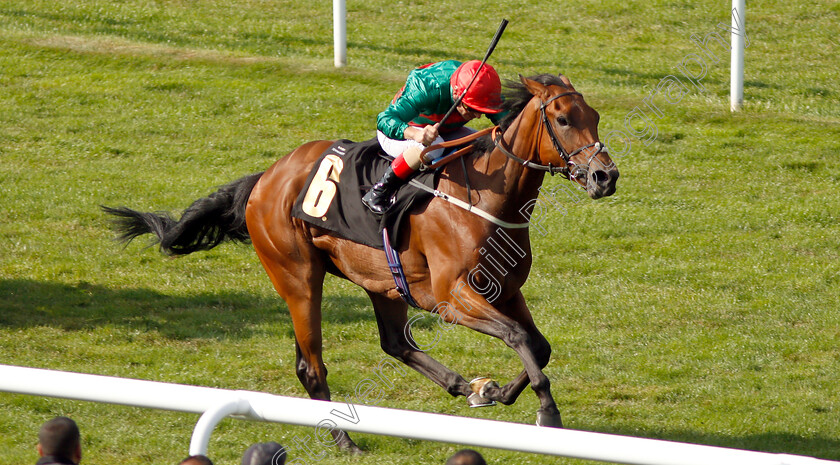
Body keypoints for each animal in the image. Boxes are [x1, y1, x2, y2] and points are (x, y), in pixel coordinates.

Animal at [103, 72, 616, 450]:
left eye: (593, 115)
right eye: (563, 118)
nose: (604, 176)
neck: (486, 198)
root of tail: (265, 177)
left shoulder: (506, 290)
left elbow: (537, 345)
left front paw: (498, 391)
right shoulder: (452, 297)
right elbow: (517, 338)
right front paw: (548, 413)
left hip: (382, 282)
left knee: (394, 342)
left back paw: (462, 385)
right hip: (298, 277)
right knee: (312, 365)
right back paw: (344, 440)